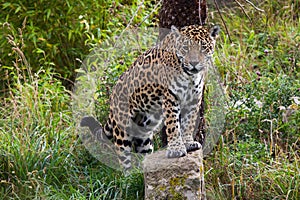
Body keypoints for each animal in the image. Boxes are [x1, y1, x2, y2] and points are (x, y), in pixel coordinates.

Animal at [81, 24, 219, 170]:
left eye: (203, 47)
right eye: (185, 48)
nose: (194, 63)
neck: (191, 76)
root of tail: (113, 95)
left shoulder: (194, 100)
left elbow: (189, 123)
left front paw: (188, 143)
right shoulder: (170, 97)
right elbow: (173, 125)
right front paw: (176, 149)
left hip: (144, 131)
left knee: (142, 153)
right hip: (123, 129)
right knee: (124, 158)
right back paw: (127, 174)